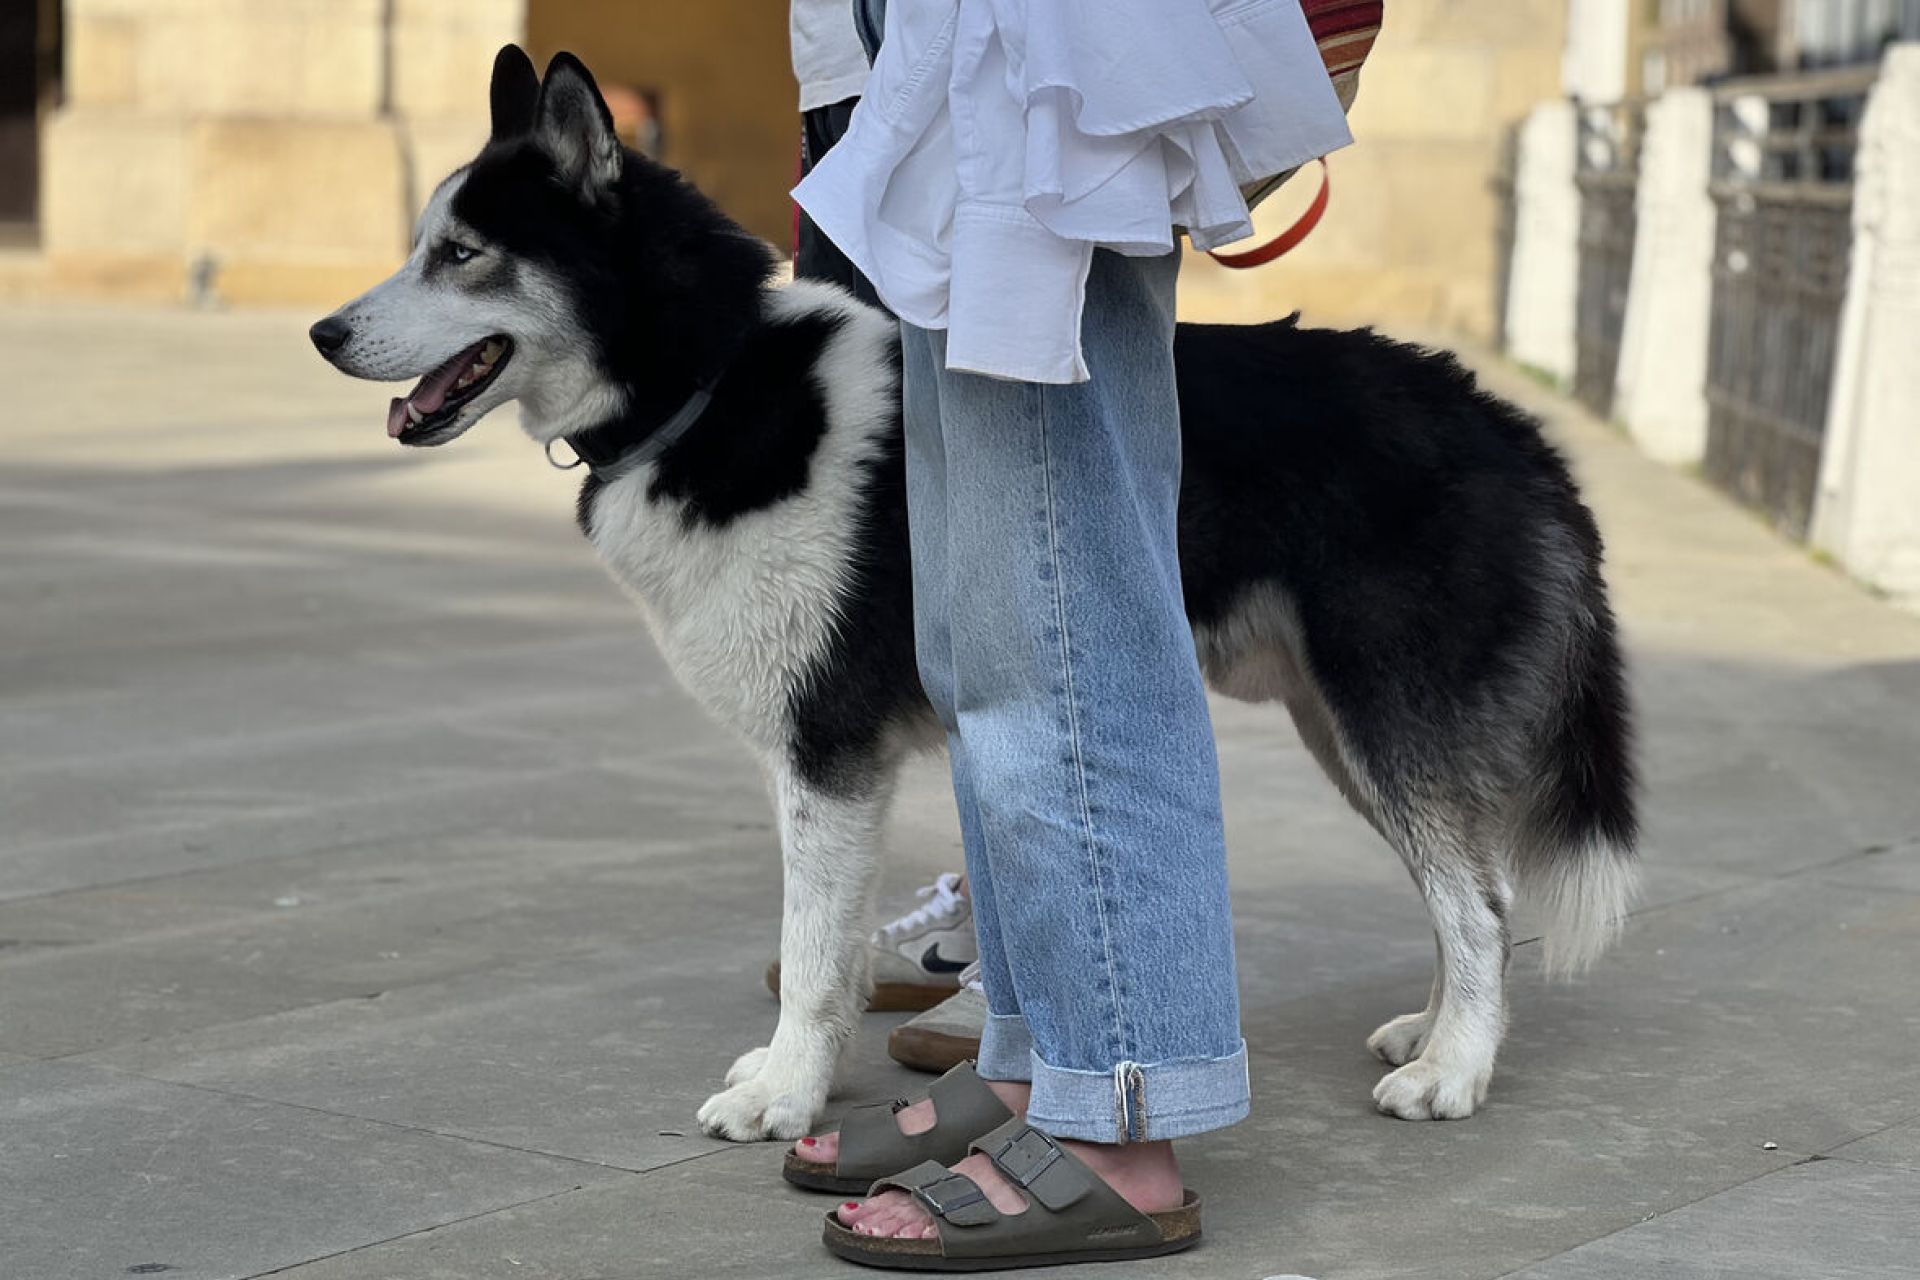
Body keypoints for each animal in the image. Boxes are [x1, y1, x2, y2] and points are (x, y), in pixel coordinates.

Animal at [311, 47, 1635, 1143]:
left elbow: (811, 948)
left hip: (1384, 713)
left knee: (1480, 899)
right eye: (424, 244)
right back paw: (1438, 1029)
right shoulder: (832, 765)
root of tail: (1510, 424)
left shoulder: (827, 753)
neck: (711, 377)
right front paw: (800, 1076)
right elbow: (831, 948)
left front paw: (785, 1099)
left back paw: (1454, 1071)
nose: (325, 332)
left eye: (463, 254)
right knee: (1464, 889)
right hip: (1342, 724)